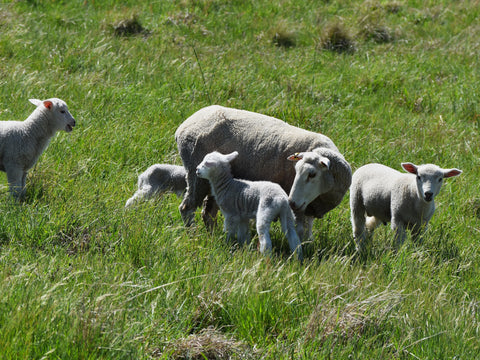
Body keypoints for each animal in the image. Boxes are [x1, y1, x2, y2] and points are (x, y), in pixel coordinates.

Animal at [174, 105, 350, 239]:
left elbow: (307, 231)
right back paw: (193, 235)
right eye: (296, 171)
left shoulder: (309, 206)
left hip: (214, 179)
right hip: (196, 174)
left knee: (208, 212)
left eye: (312, 174)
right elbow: (300, 232)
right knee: (187, 208)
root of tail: (183, 126)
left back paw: (212, 235)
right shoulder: (300, 208)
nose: (292, 202)